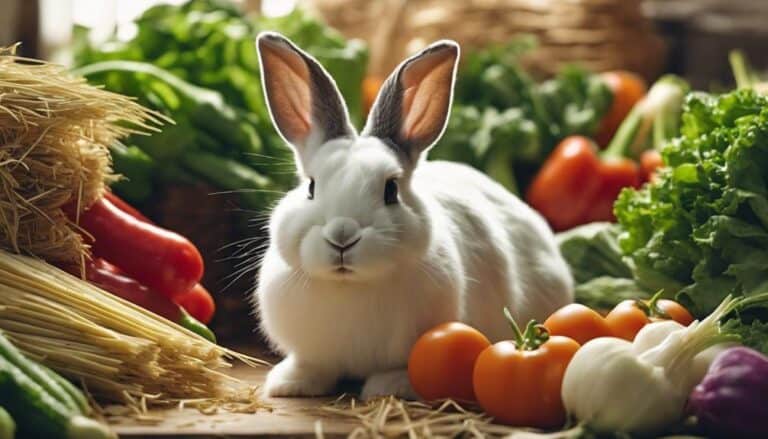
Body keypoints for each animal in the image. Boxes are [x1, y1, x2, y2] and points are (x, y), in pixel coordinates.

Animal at [254, 31, 574, 400]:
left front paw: (386, 387)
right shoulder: (313, 351)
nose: (342, 236)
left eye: (391, 190)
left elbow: (400, 368)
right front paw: (289, 384)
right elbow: (313, 365)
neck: (351, 286)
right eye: (311, 187)